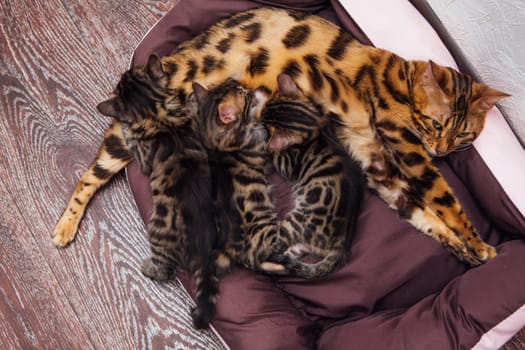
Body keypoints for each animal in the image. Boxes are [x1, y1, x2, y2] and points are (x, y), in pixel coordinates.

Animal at [54, 7, 508, 266]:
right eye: (435, 125)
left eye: (463, 135)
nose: (443, 149)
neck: (402, 76)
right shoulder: (406, 145)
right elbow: (444, 200)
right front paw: (478, 242)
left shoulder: (375, 160)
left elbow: (418, 212)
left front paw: (463, 249)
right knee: (89, 174)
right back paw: (63, 227)